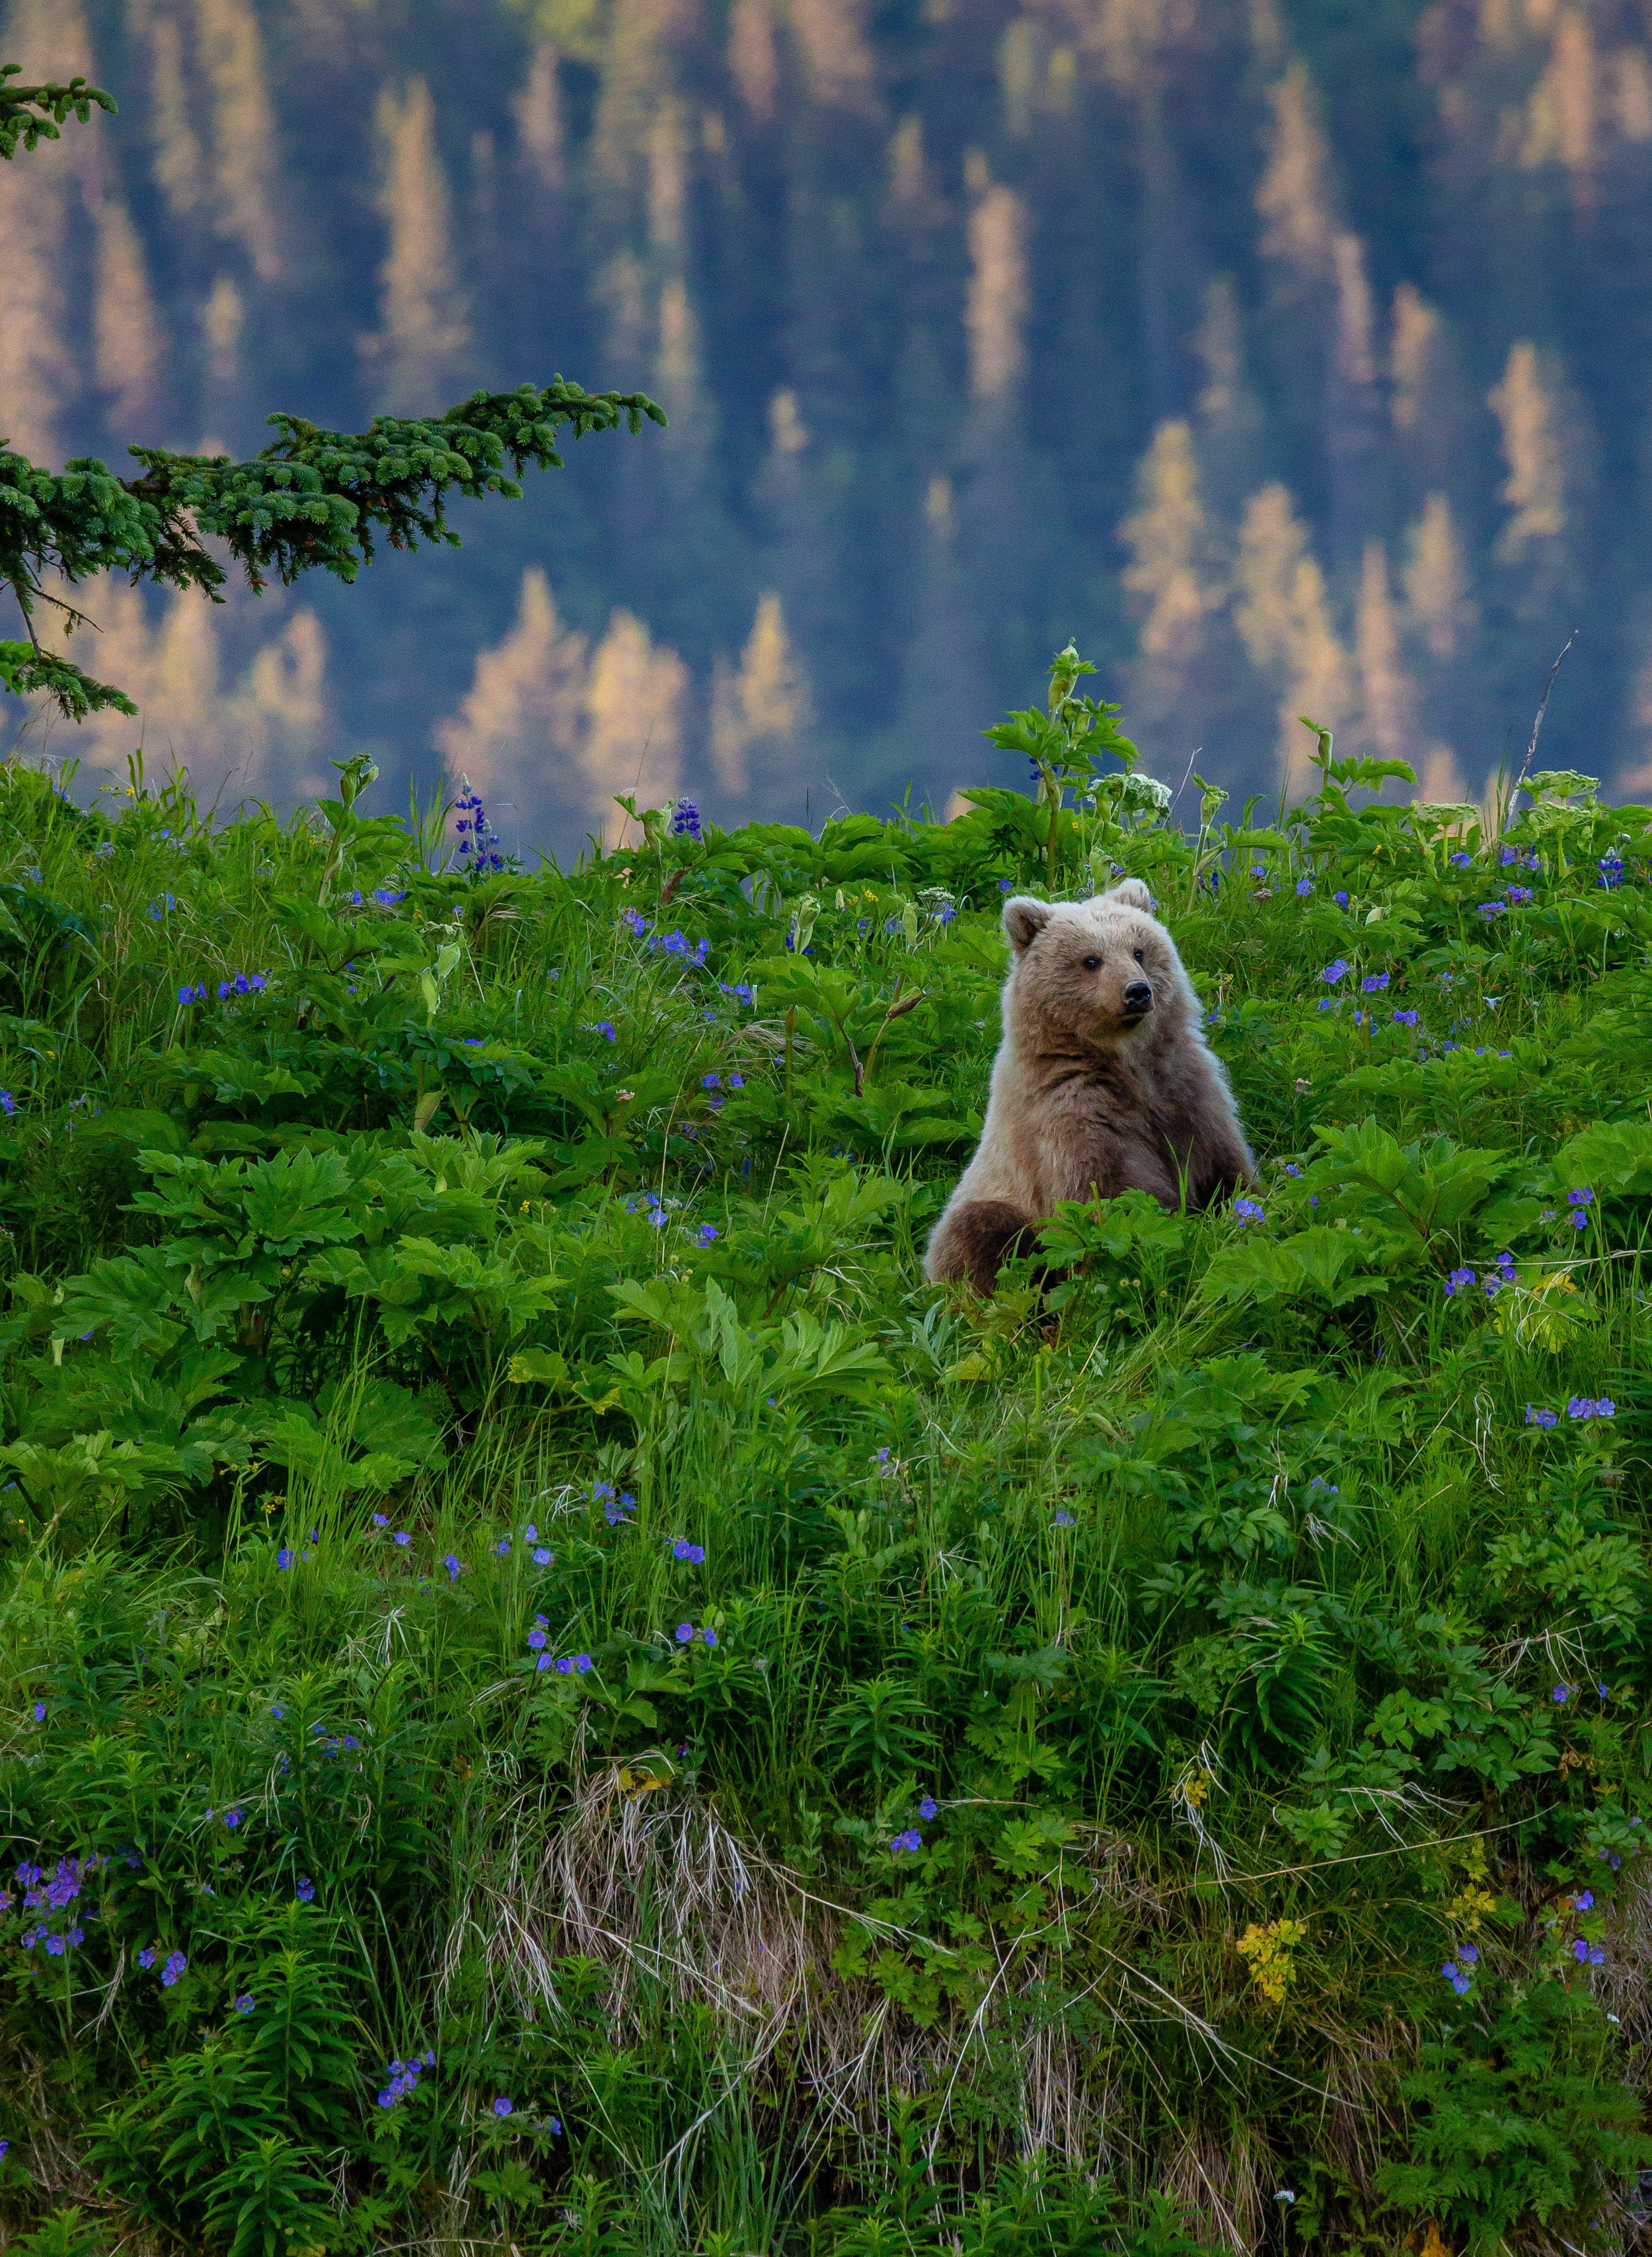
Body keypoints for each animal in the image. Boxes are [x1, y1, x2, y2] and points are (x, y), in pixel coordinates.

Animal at [930, 866, 1254, 1291]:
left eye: (1139, 951)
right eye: (1090, 960)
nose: (1137, 992)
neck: (1127, 1064)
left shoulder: (1187, 1091)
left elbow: (1225, 1164)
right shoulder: (1073, 1115)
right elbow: (1109, 1200)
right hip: (996, 1201)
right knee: (980, 1234)